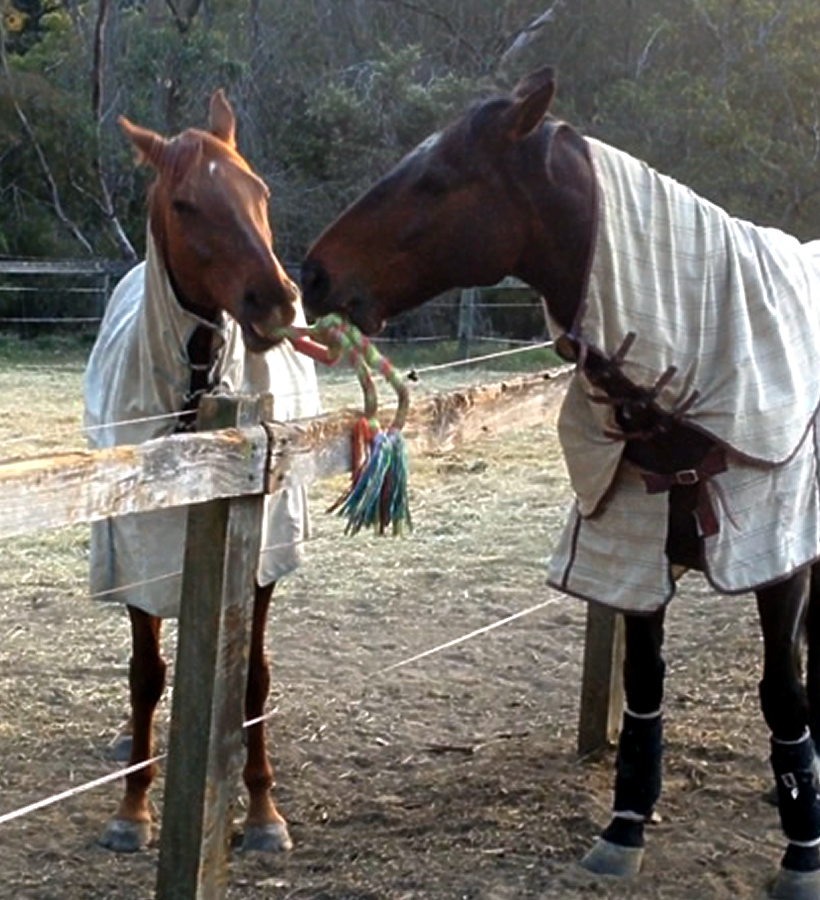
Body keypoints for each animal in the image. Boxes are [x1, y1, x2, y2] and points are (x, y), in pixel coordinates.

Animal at [83, 90, 321, 854]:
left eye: (259, 192)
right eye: (186, 203)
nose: (276, 301)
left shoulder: (262, 554)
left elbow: (252, 680)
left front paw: (264, 812)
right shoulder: (139, 556)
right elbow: (145, 675)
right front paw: (133, 809)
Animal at [301, 66, 820, 899]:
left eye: (437, 179)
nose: (314, 273)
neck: (699, 364)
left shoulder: (779, 556)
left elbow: (782, 691)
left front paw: (801, 851)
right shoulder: (635, 556)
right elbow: (643, 686)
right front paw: (624, 827)